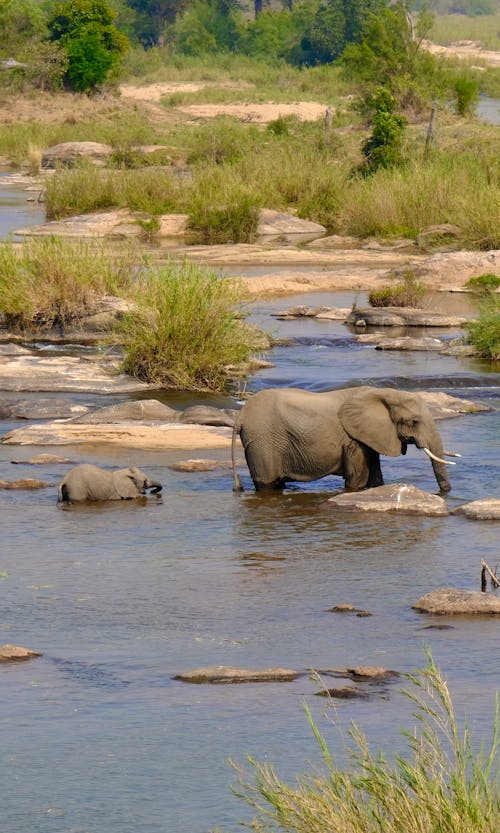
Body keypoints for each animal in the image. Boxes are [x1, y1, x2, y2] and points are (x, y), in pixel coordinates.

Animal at [231, 386, 458, 490]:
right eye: (413, 422)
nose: (445, 493)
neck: (384, 393)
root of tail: (241, 416)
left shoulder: (368, 437)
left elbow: (376, 478)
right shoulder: (353, 441)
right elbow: (357, 479)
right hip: (263, 442)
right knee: (268, 484)